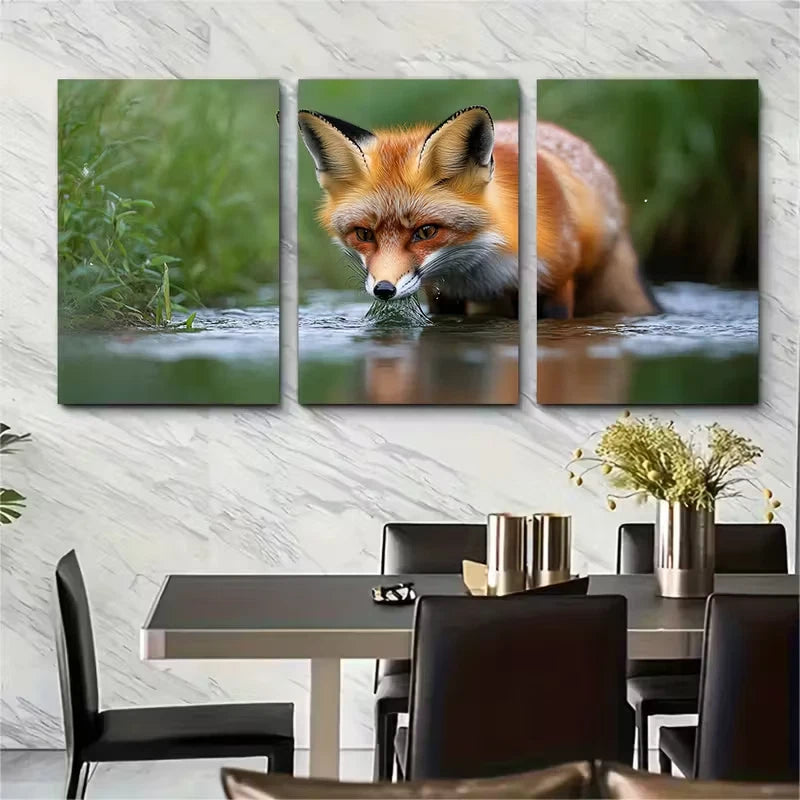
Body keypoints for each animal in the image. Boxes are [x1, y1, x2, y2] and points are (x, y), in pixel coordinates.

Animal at [298, 106, 657, 318]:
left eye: (426, 231)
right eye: (363, 234)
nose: (384, 290)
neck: (478, 272)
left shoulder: (553, 286)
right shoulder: (444, 298)